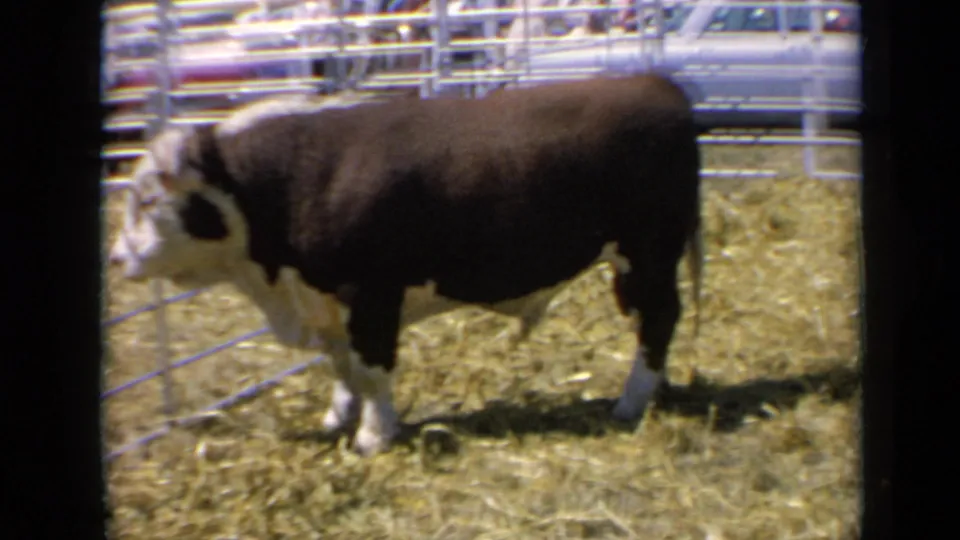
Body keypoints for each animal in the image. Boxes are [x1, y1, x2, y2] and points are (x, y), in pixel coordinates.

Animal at [108, 73, 704, 456]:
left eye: (147, 200)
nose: (116, 257)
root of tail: (656, 82)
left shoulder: (370, 293)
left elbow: (371, 370)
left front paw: (373, 435)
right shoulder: (327, 301)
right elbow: (341, 367)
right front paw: (337, 417)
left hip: (648, 254)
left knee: (659, 321)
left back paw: (630, 402)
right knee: (650, 323)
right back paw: (655, 390)